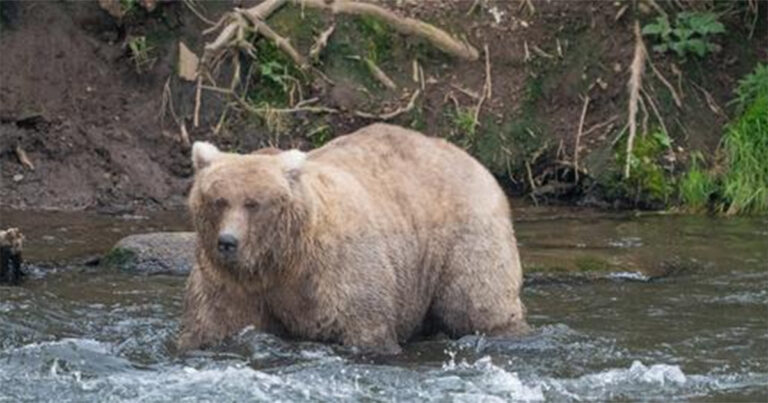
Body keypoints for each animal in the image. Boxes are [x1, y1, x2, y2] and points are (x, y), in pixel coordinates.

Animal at [180, 123, 528, 354]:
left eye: (253, 203)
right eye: (219, 200)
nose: (228, 242)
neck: (281, 260)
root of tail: (474, 160)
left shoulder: (336, 271)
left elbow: (365, 325)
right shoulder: (231, 283)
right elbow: (213, 323)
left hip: (463, 236)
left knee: (477, 302)